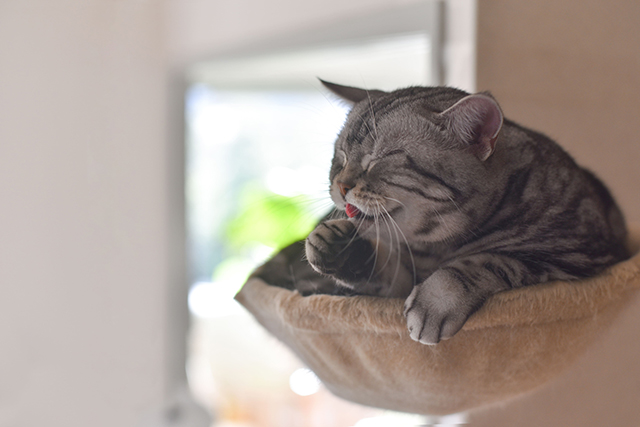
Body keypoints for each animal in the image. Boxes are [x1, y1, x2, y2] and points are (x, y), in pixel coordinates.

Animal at [256, 81, 632, 348]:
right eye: (340, 156)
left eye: (380, 159)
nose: (341, 185)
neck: (433, 248)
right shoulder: (396, 280)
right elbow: (379, 266)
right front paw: (336, 245)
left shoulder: (574, 255)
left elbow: (487, 260)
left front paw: (437, 300)